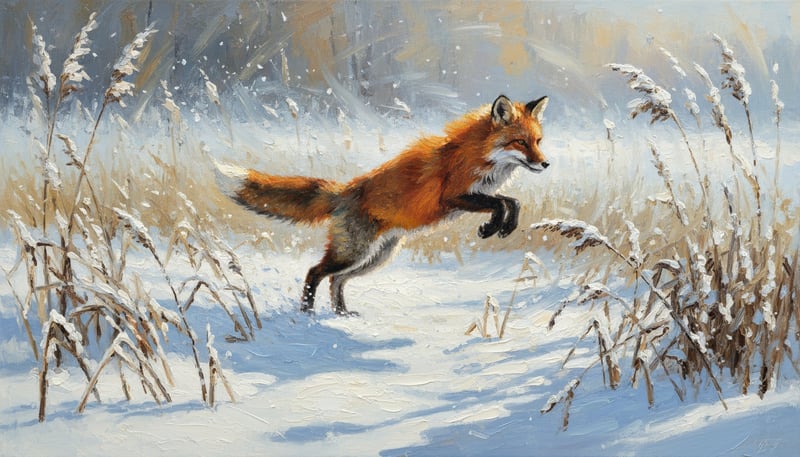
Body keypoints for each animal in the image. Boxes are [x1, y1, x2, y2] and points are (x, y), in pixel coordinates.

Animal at [214, 94, 550, 316]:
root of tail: (345, 191)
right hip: (353, 252)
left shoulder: (475, 195)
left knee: (336, 280)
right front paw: (492, 227)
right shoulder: (453, 196)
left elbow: (510, 202)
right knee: (315, 272)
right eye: (520, 142)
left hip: (376, 257)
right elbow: (503, 202)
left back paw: (341, 315)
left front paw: (503, 226)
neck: (479, 155)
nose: (545, 164)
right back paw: (306, 314)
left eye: (538, 141)